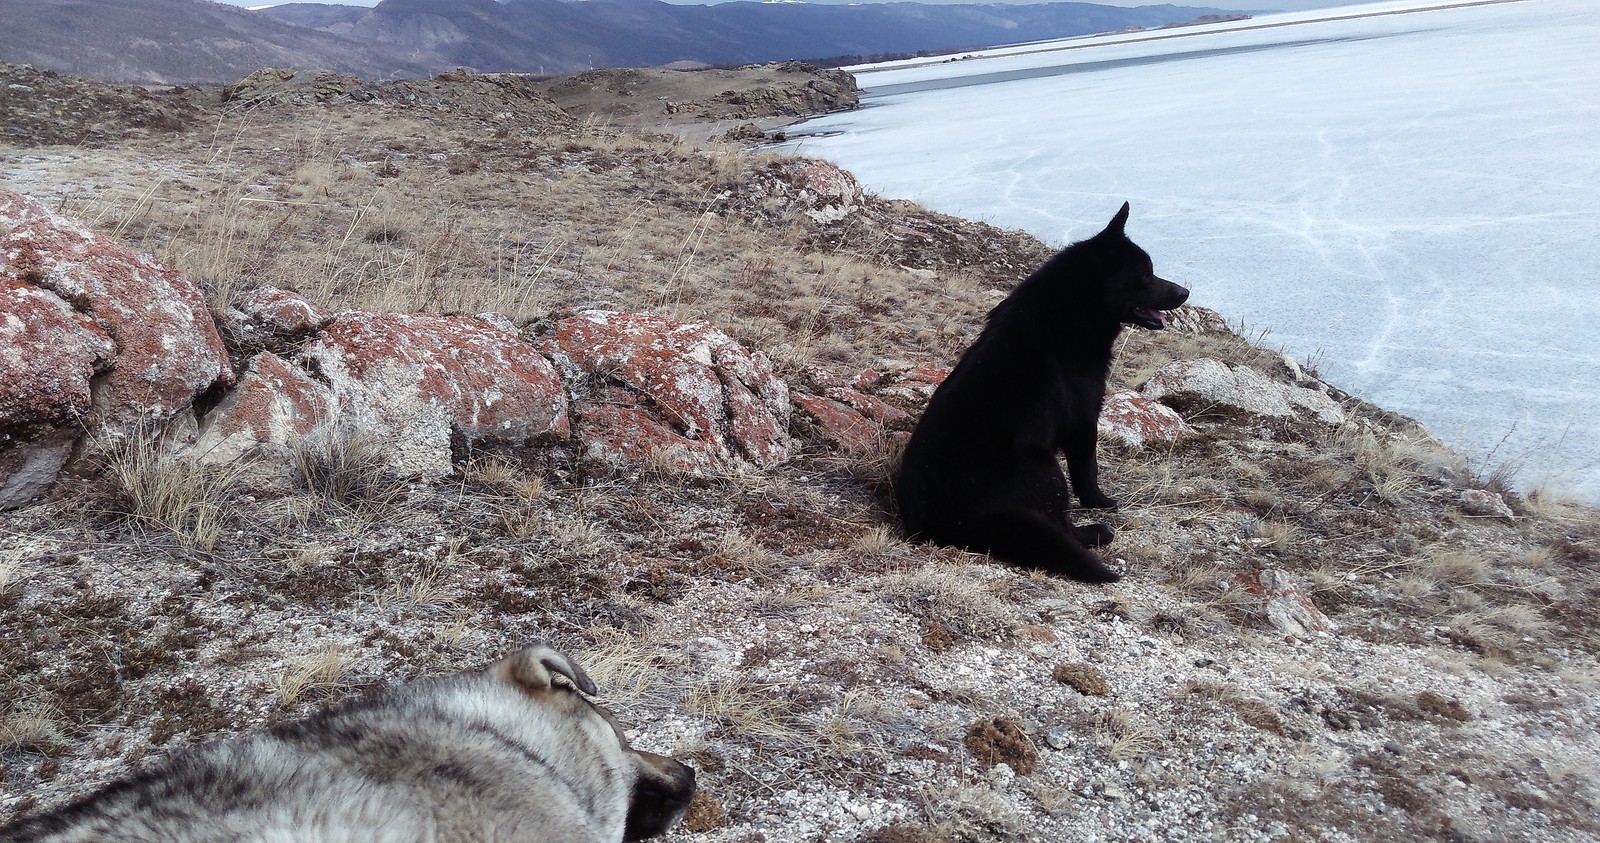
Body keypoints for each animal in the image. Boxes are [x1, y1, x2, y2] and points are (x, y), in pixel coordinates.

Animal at [902, 204, 1190, 585]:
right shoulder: (1083, 420)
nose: (1185, 293)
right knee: (1063, 528)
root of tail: (956, 525)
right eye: (1145, 274)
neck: (1070, 315)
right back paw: (1096, 532)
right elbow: (1087, 470)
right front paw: (1100, 502)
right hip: (1047, 468)